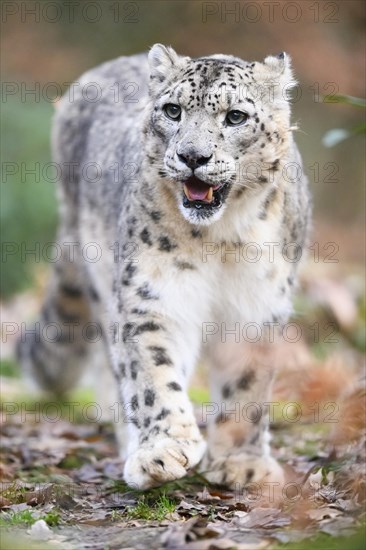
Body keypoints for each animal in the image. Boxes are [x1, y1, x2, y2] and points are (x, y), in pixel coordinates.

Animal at [18, 44, 310, 492]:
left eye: (235, 117)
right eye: (173, 111)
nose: (193, 156)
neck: (222, 238)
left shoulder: (257, 305)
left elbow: (248, 388)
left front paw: (241, 463)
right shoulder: (152, 296)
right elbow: (153, 375)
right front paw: (162, 451)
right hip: (100, 278)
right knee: (111, 366)